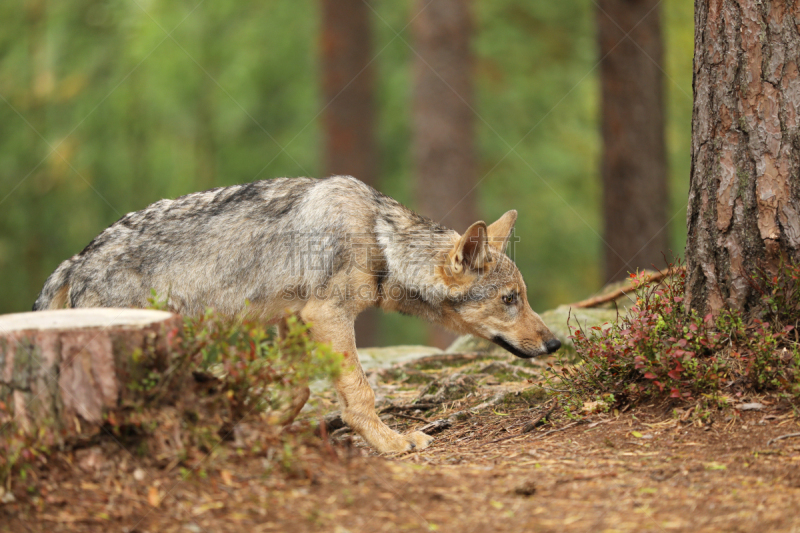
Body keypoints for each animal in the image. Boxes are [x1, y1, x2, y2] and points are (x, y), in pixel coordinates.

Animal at [34, 176, 564, 454]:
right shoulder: (330, 317)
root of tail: (74, 262)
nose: (556, 342)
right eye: (510, 299)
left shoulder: (295, 320)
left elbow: (298, 390)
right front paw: (390, 442)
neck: (379, 243)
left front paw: (256, 423)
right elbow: (360, 393)